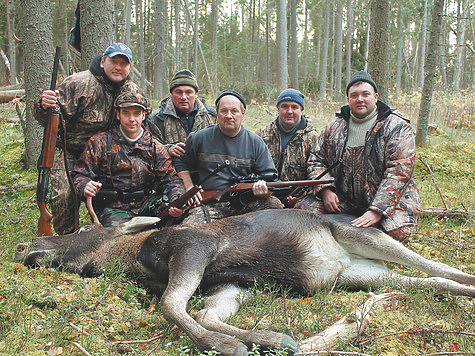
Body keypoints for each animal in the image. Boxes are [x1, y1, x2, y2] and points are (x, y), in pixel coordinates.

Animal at [15, 209, 475, 356]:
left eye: (80, 231)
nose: (23, 245)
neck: (138, 262)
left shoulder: (193, 248)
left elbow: (171, 305)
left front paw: (226, 344)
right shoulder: (229, 286)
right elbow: (203, 313)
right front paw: (270, 339)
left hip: (361, 235)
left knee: (440, 265)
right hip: (361, 275)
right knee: (432, 278)